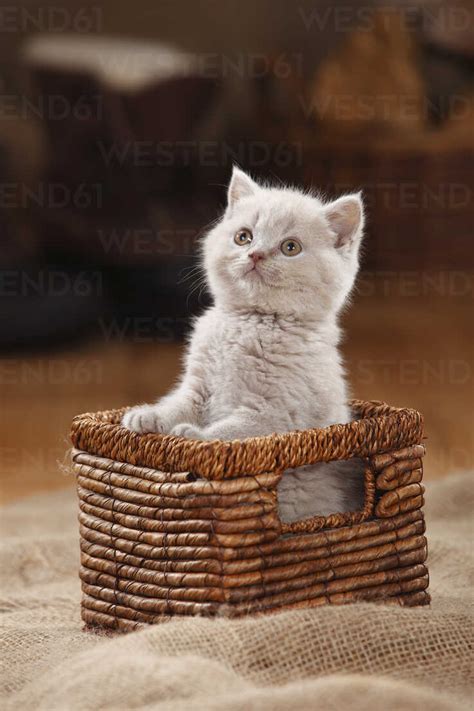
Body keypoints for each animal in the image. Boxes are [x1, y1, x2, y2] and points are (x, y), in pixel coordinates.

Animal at [121, 167, 362, 524]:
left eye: (290, 247)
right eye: (243, 237)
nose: (255, 254)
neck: (250, 322)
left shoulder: (276, 414)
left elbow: (233, 432)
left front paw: (195, 438)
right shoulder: (199, 387)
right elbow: (179, 402)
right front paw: (148, 416)